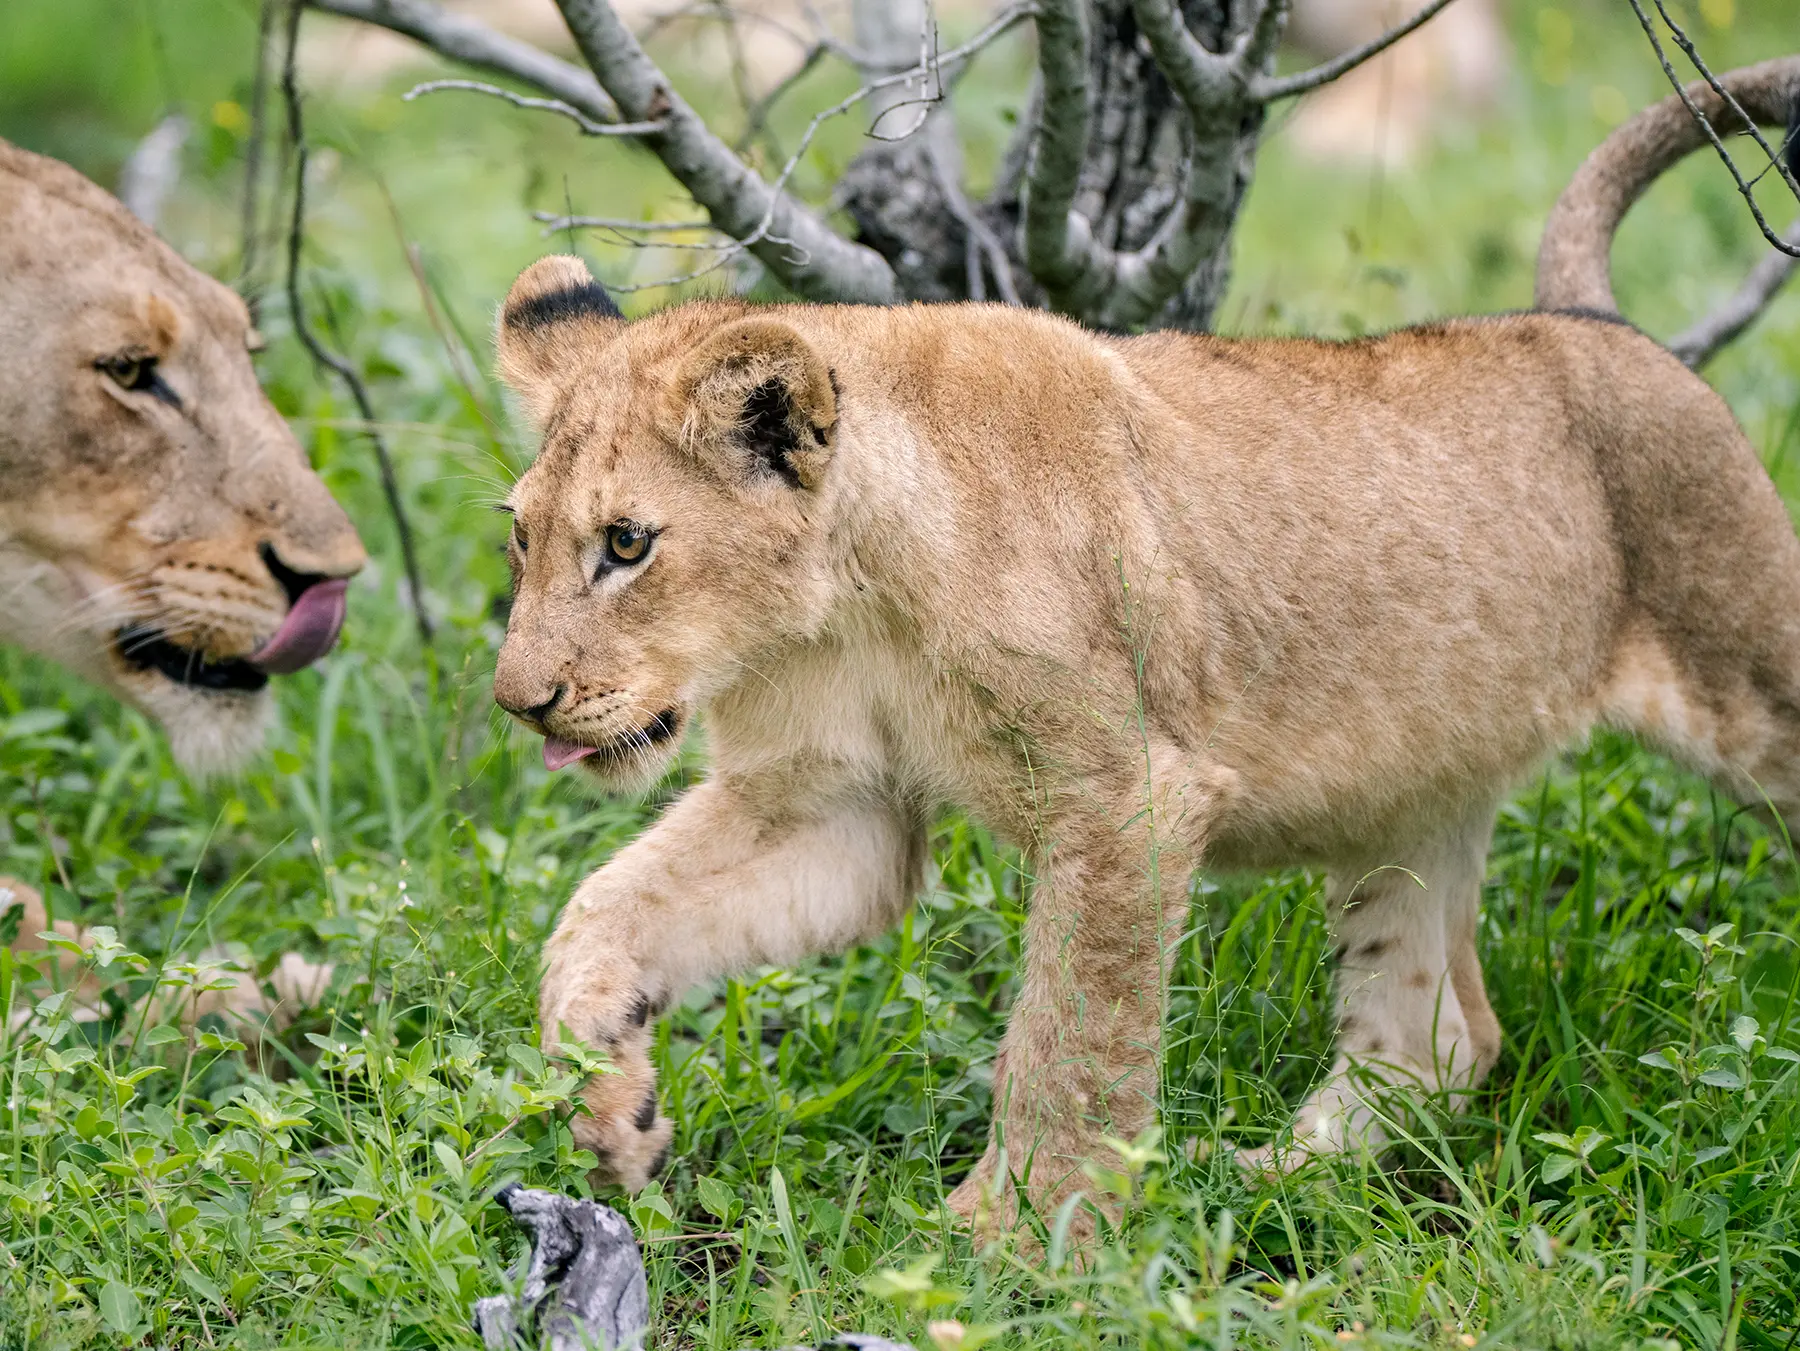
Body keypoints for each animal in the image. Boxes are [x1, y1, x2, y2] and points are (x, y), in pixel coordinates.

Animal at [489, 57, 1800, 1221]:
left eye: (627, 544)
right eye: (522, 539)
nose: (520, 702)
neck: (842, 609)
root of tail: (1595, 321)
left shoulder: (1128, 795)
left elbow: (1070, 1033)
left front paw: (1018, 1239)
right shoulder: (835, 804)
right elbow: (602, 910)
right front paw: (607, 1111)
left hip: (1749, 669)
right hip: (1414, 784)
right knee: (1436, 1037)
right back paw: (1258, 1182)